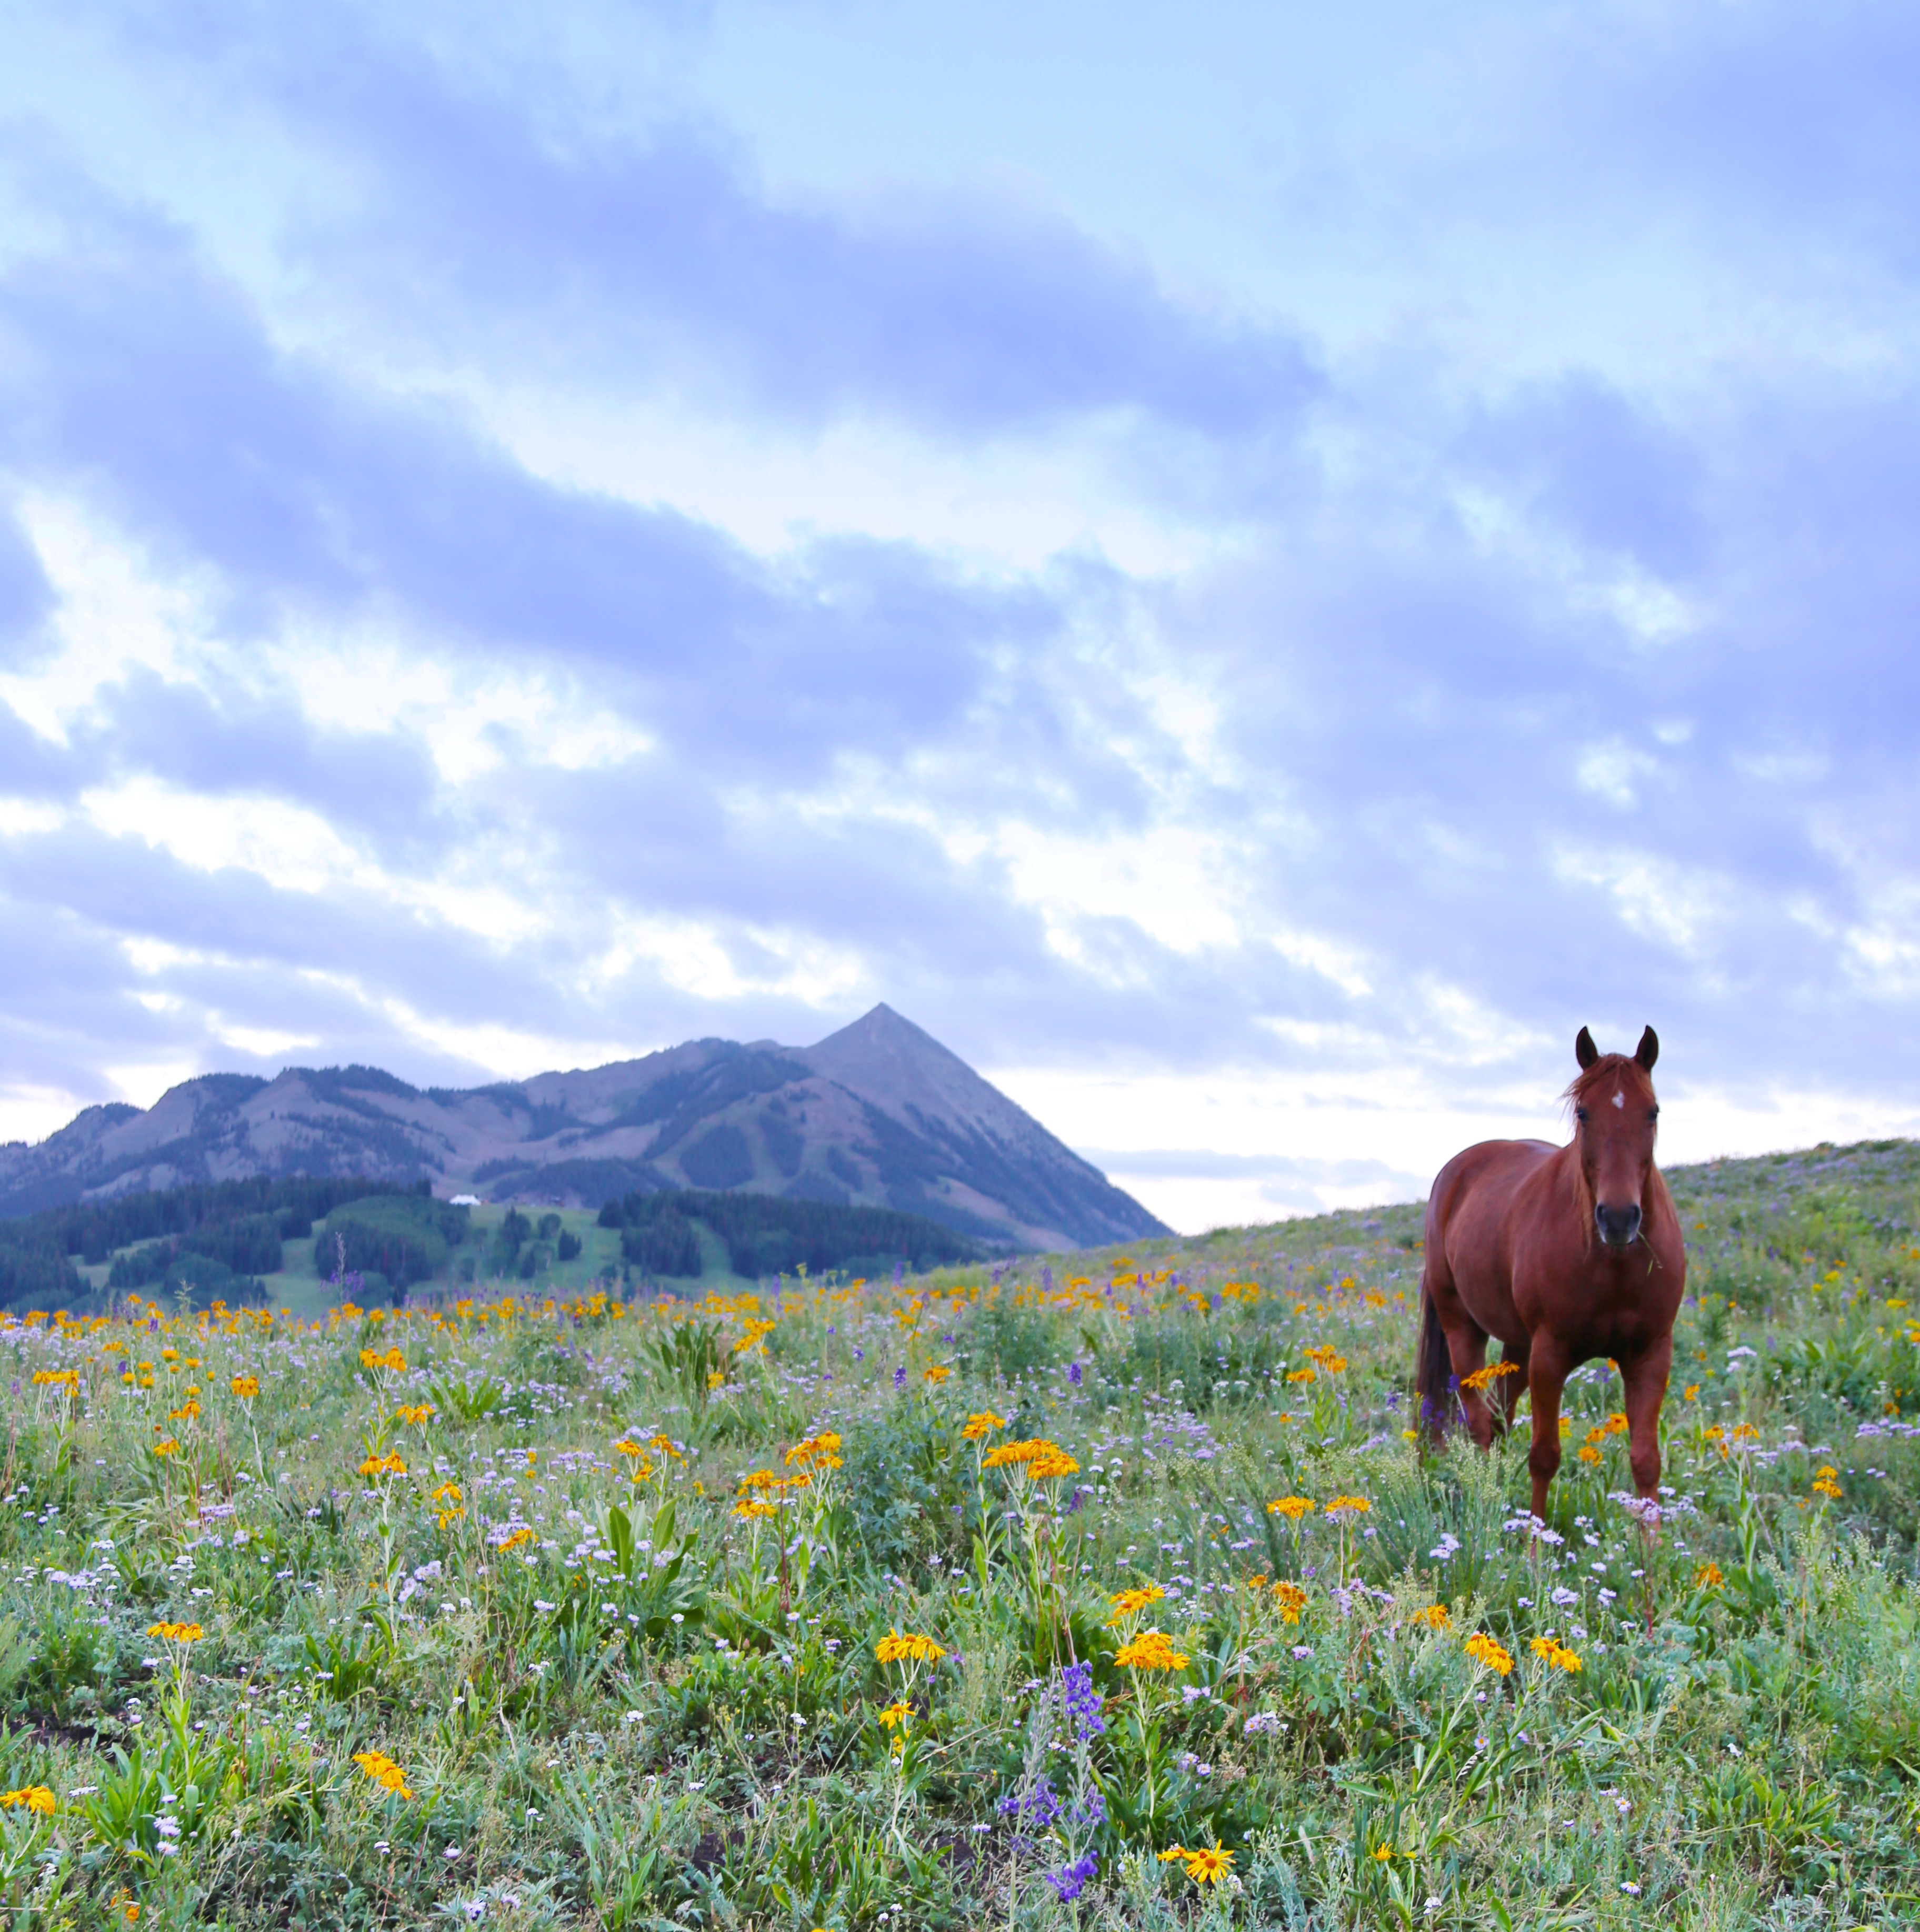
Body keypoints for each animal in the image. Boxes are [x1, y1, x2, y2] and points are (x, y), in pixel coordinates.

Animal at [1414, 1028, 1684, 1522]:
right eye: (1583, 1112)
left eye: (1652, 1111)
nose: (1619, 1218)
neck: (1613, 1266)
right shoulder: (1551, 1355)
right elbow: (1544, 1456)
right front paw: (1535, 1540)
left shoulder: (1651, 1355)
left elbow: (1646, 1462)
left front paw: (1652, 1545)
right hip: (1465, 1328)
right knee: (1480, 1423)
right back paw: (1484, 1504)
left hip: (1519, 1345)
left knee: (1498, 1417)